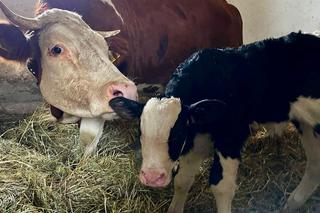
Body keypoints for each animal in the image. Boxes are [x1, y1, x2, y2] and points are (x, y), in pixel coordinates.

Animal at [109, 32, 320, 213]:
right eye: (140, 132)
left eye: (177, 134)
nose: (152, 177)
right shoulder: (194, 142)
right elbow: (182, 180)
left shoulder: (231, 136)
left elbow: (221, 186)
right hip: (307, 125)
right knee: (314, 165)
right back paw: (293, 203)